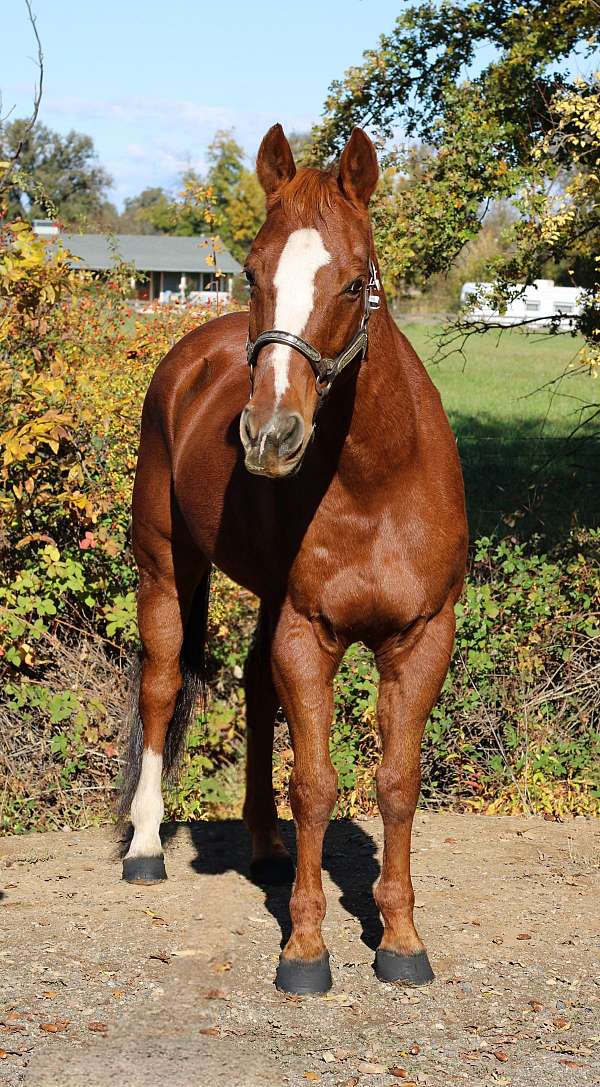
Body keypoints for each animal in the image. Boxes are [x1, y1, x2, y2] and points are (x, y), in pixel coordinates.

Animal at [120, 125, 469, 995]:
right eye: (251, 270)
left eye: (352, 282)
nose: (270, 436)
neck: (379, 484)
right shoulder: (310, 633)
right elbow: (314, 783)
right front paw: (306, 951)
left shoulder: (421, 638)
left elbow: (397, 783)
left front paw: (401, 939)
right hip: (166, 567)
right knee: (162, 684)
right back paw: (143, 846)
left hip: (266, 597)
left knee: (253, 691)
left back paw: (266, 848)